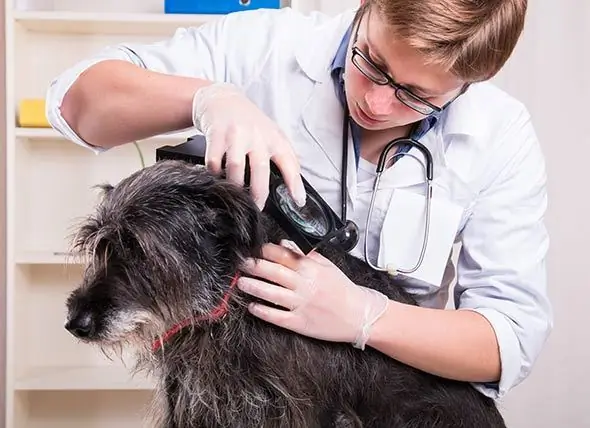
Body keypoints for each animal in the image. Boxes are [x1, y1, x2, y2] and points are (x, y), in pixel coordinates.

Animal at [63, 159, 508, 426]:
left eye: (138, 250)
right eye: (99, 247)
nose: (75, 323)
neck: (227, 305)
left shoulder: (297, 409)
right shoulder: (191, 400)